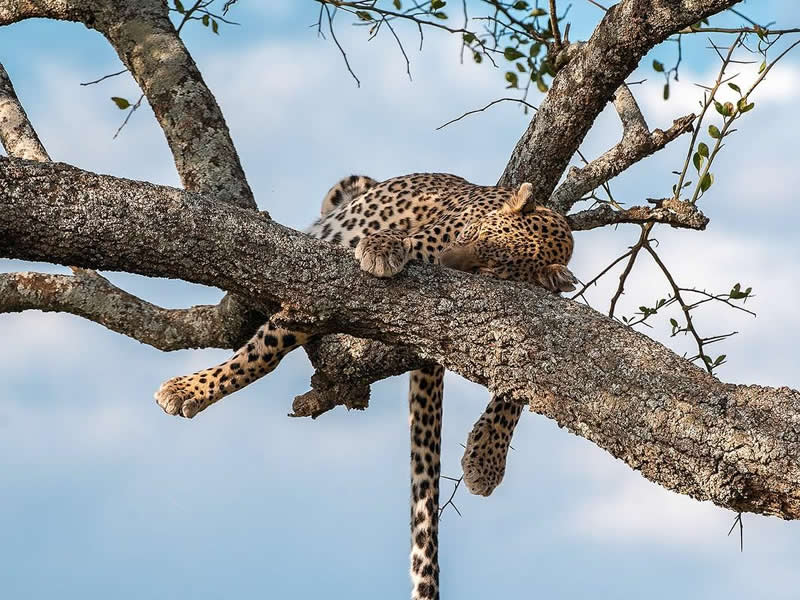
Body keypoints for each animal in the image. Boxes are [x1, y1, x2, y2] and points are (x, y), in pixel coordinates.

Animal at [153, 173, 572, 600]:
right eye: (474, 234)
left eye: (490, 269)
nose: (450, 264)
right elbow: (264, 351)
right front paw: (190, 389)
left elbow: (521, 388)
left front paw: (487, 456)